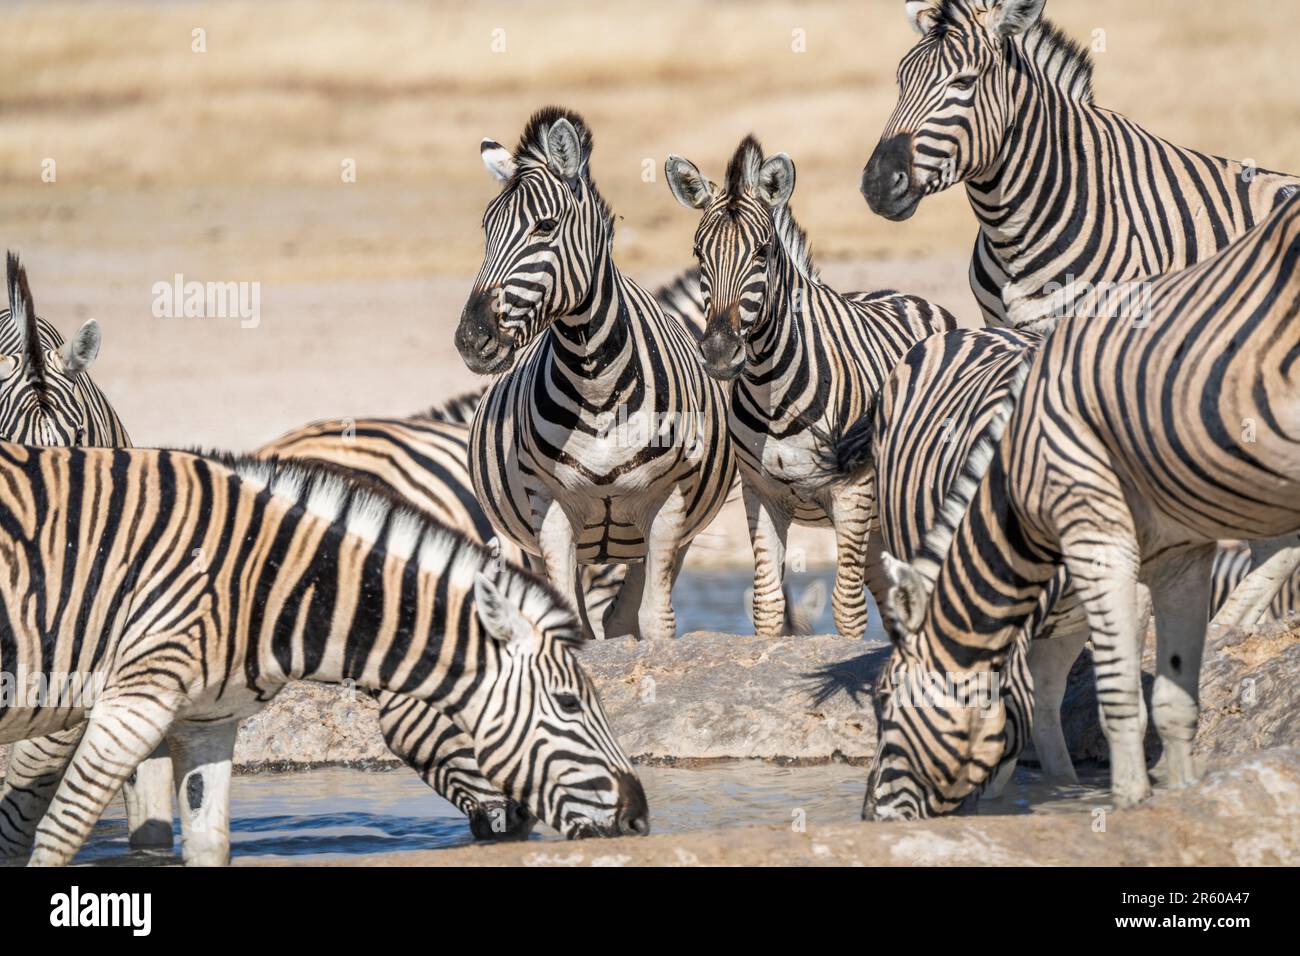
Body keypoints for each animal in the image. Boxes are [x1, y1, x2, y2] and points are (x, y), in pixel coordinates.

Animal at [0, 442, 647, 865]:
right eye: (568, 704)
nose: (638, 819)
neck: (264, 576)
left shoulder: (205, 719)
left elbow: (204, 839)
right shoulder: (111, 703)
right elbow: (42, 826)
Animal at [455, 106, 736, 641]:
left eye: (545, 226)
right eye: (485, 229)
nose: (472, 339)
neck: (596, 383)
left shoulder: (669, 506)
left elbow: (654, 620)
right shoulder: (547, 505)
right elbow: (568, 617)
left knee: (624, 613)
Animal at [664, 135, 957, 638]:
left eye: (762, 253)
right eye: (699, 254)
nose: (720, 353)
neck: (772, 389)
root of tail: (907, 295)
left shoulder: (851, 495)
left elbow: (847, 609)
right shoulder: (761, 496)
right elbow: (767, 604)